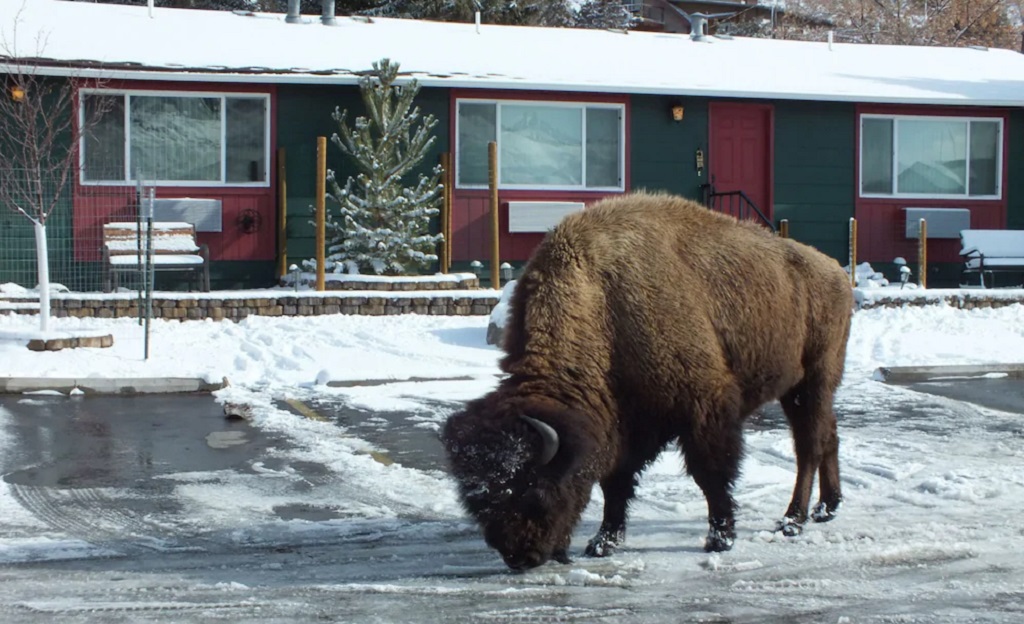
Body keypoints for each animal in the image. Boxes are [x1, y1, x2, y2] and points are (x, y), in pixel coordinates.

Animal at [444, 192, 851, 573]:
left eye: (534, 490)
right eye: (478, 500)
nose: (519, 557)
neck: (603, 304)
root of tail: (835, 271)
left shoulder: (704, 410)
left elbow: (710, 474)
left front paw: (719, 538)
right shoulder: (625, 424)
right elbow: (615, 483)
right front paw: (602, 542)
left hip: (813, 381)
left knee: (809, 446)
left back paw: (792, 520)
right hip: (803, 390)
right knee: (828, 434)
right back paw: (827, 508)